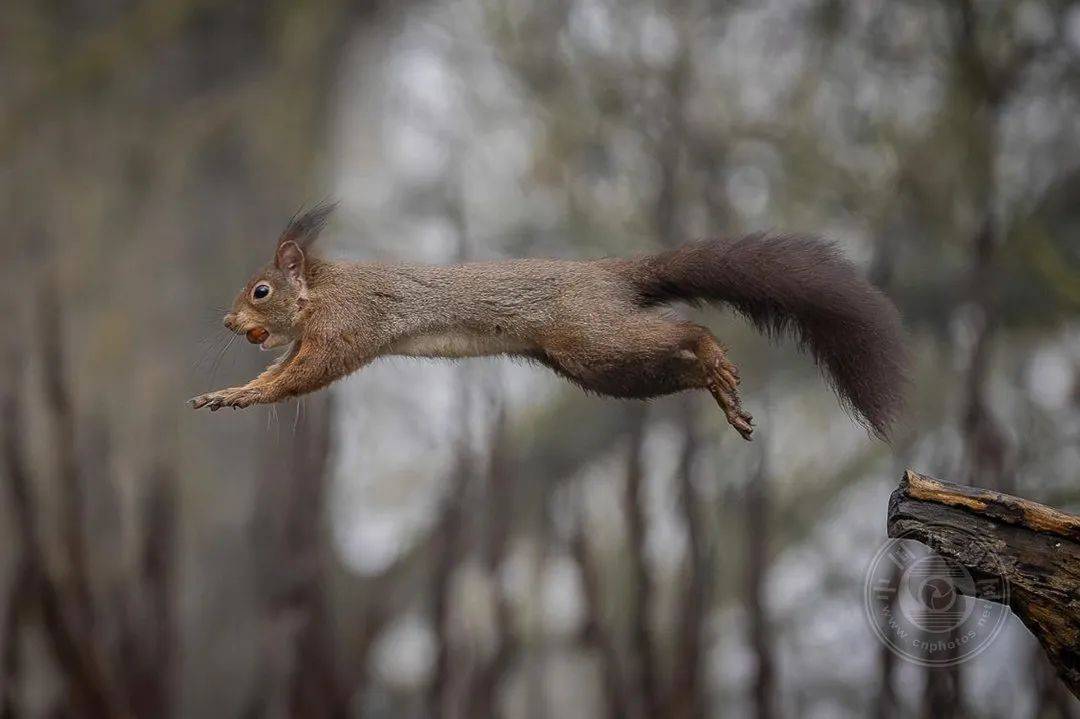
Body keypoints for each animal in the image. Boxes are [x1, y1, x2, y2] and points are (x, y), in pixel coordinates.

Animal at [190, 198, 907, 440]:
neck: (322, 290)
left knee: (691, 331)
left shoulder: (346, 328)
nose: (225, 323)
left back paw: (716, 359)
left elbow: (299, 378)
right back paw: (721, 389)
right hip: (602, 367)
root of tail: (610, 274)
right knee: (675, 363)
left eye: (260, 290)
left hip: (595, 338)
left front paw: (237, 395)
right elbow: (280, 374)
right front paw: (232, 391)